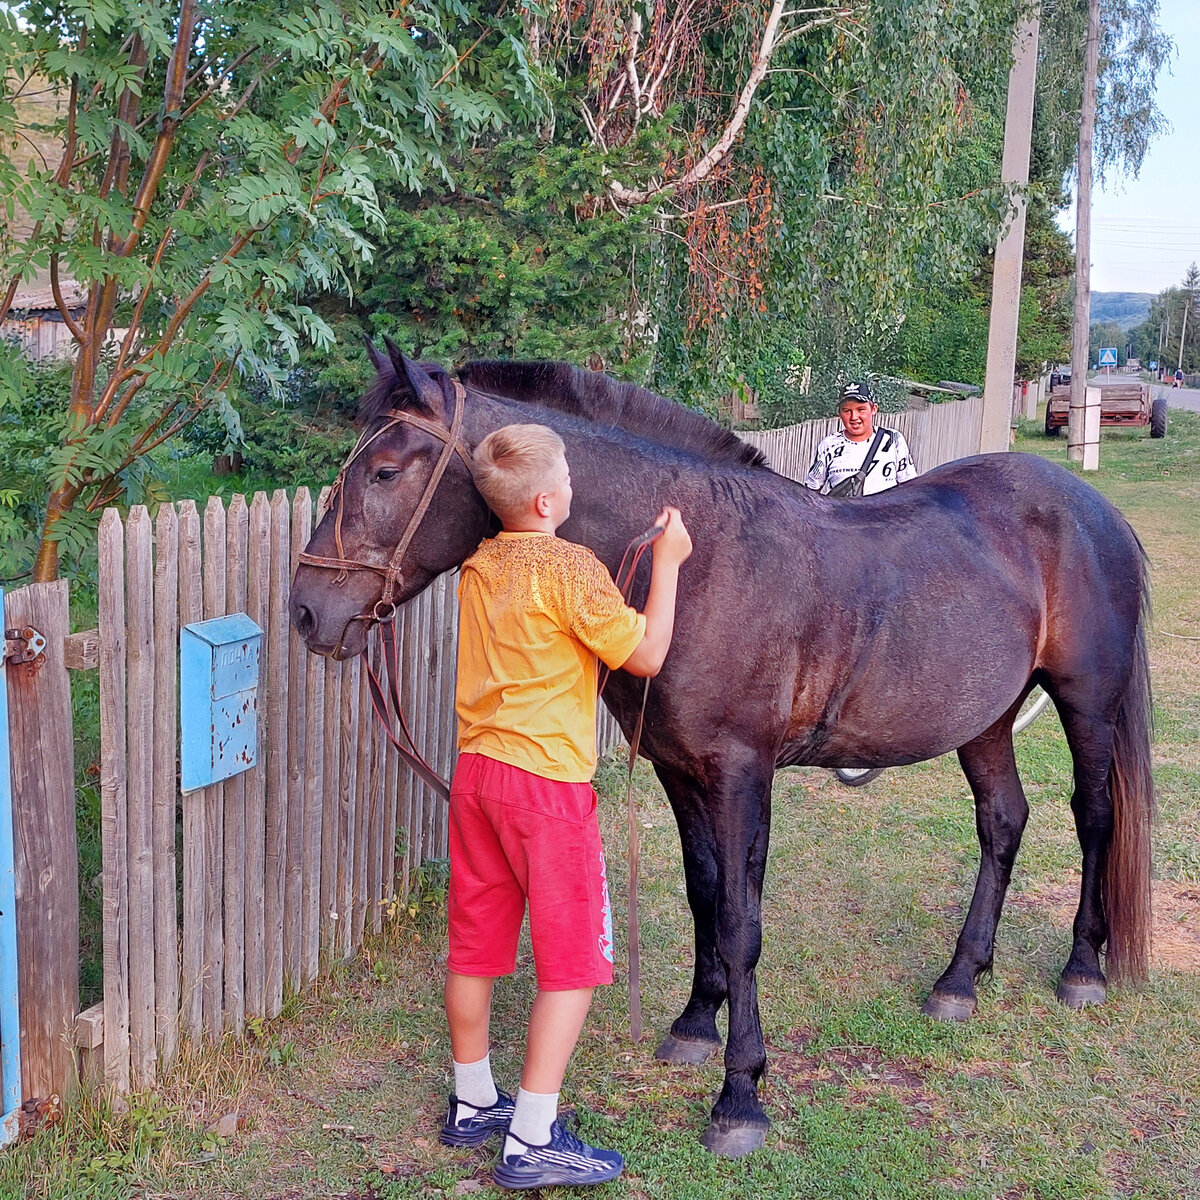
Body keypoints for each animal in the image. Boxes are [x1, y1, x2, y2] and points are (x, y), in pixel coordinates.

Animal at [288, 348, 1152, 1152]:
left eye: (385, 470)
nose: (306, 610)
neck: (698, 564)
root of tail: (1092, 509)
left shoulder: (741, 774)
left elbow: (741, 921)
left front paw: (741, 1098)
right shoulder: (681, 769)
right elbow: (706, 892)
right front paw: (696, 1025)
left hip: (1086, 703)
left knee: (1093, 817)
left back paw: (1082, 968)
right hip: (987, 718)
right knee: (1003, 822)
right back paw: (959, 981)